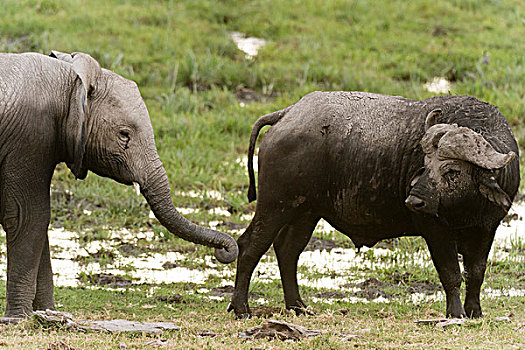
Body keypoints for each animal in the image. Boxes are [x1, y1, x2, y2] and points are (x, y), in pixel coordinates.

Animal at [0, 52, 237, 320]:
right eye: (124, 135)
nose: (225, 251)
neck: (69, 79)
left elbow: (39, 222)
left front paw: (48, 313)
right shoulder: (30, 138)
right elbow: (28, 217)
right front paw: (19, 318)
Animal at [229, 91, 520, 320]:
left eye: (452, 171)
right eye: (426, 164)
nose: (414, 200)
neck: (466, 209)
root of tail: (287, 114)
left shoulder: (487, 229)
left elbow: (476, 273)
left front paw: (475, 311)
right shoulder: (436, 231)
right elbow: (452, 273)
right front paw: (456, 313)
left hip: (306, 212)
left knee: (287, 251)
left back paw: (298, 306)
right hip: (275, 205)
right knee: (250, 246)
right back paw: (242, 309)